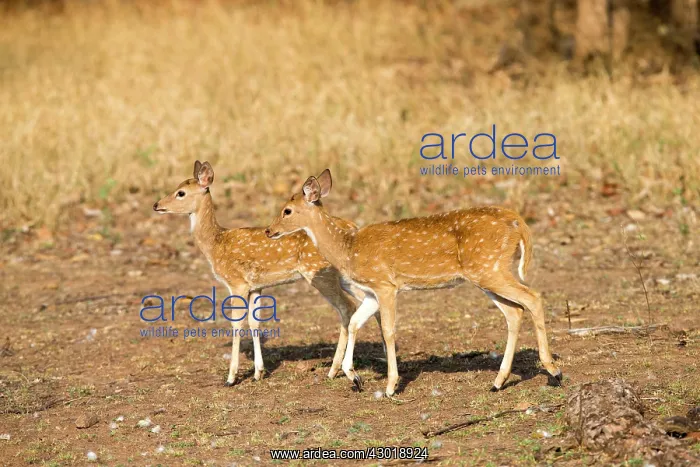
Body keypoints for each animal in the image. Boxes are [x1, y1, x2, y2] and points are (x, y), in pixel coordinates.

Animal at [153, 161, 388, 386]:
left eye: (181, 192)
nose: (156, 205)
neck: (215, 244)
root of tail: (352, 227)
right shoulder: (256, 286)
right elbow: (254, 322)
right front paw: (258, 372)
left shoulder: (236, 282)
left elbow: (236, 323)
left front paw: (231, 378)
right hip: (346, 277)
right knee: (369, 302)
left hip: (320, 274)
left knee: (347, 307)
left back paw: (334, 370)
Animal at [265, 169, 562, 397]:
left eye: (287, 210)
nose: (269, 230)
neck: (349, 249)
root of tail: (518, 221)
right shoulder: (371, 292)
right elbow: (355, 322)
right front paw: (355, 377)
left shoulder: (386, 285)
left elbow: (388, 331)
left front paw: (390, 387)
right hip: (487, 272)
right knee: (515, 311)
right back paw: (498, 382)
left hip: (490, 268)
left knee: (533, 297)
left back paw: (554, 371)